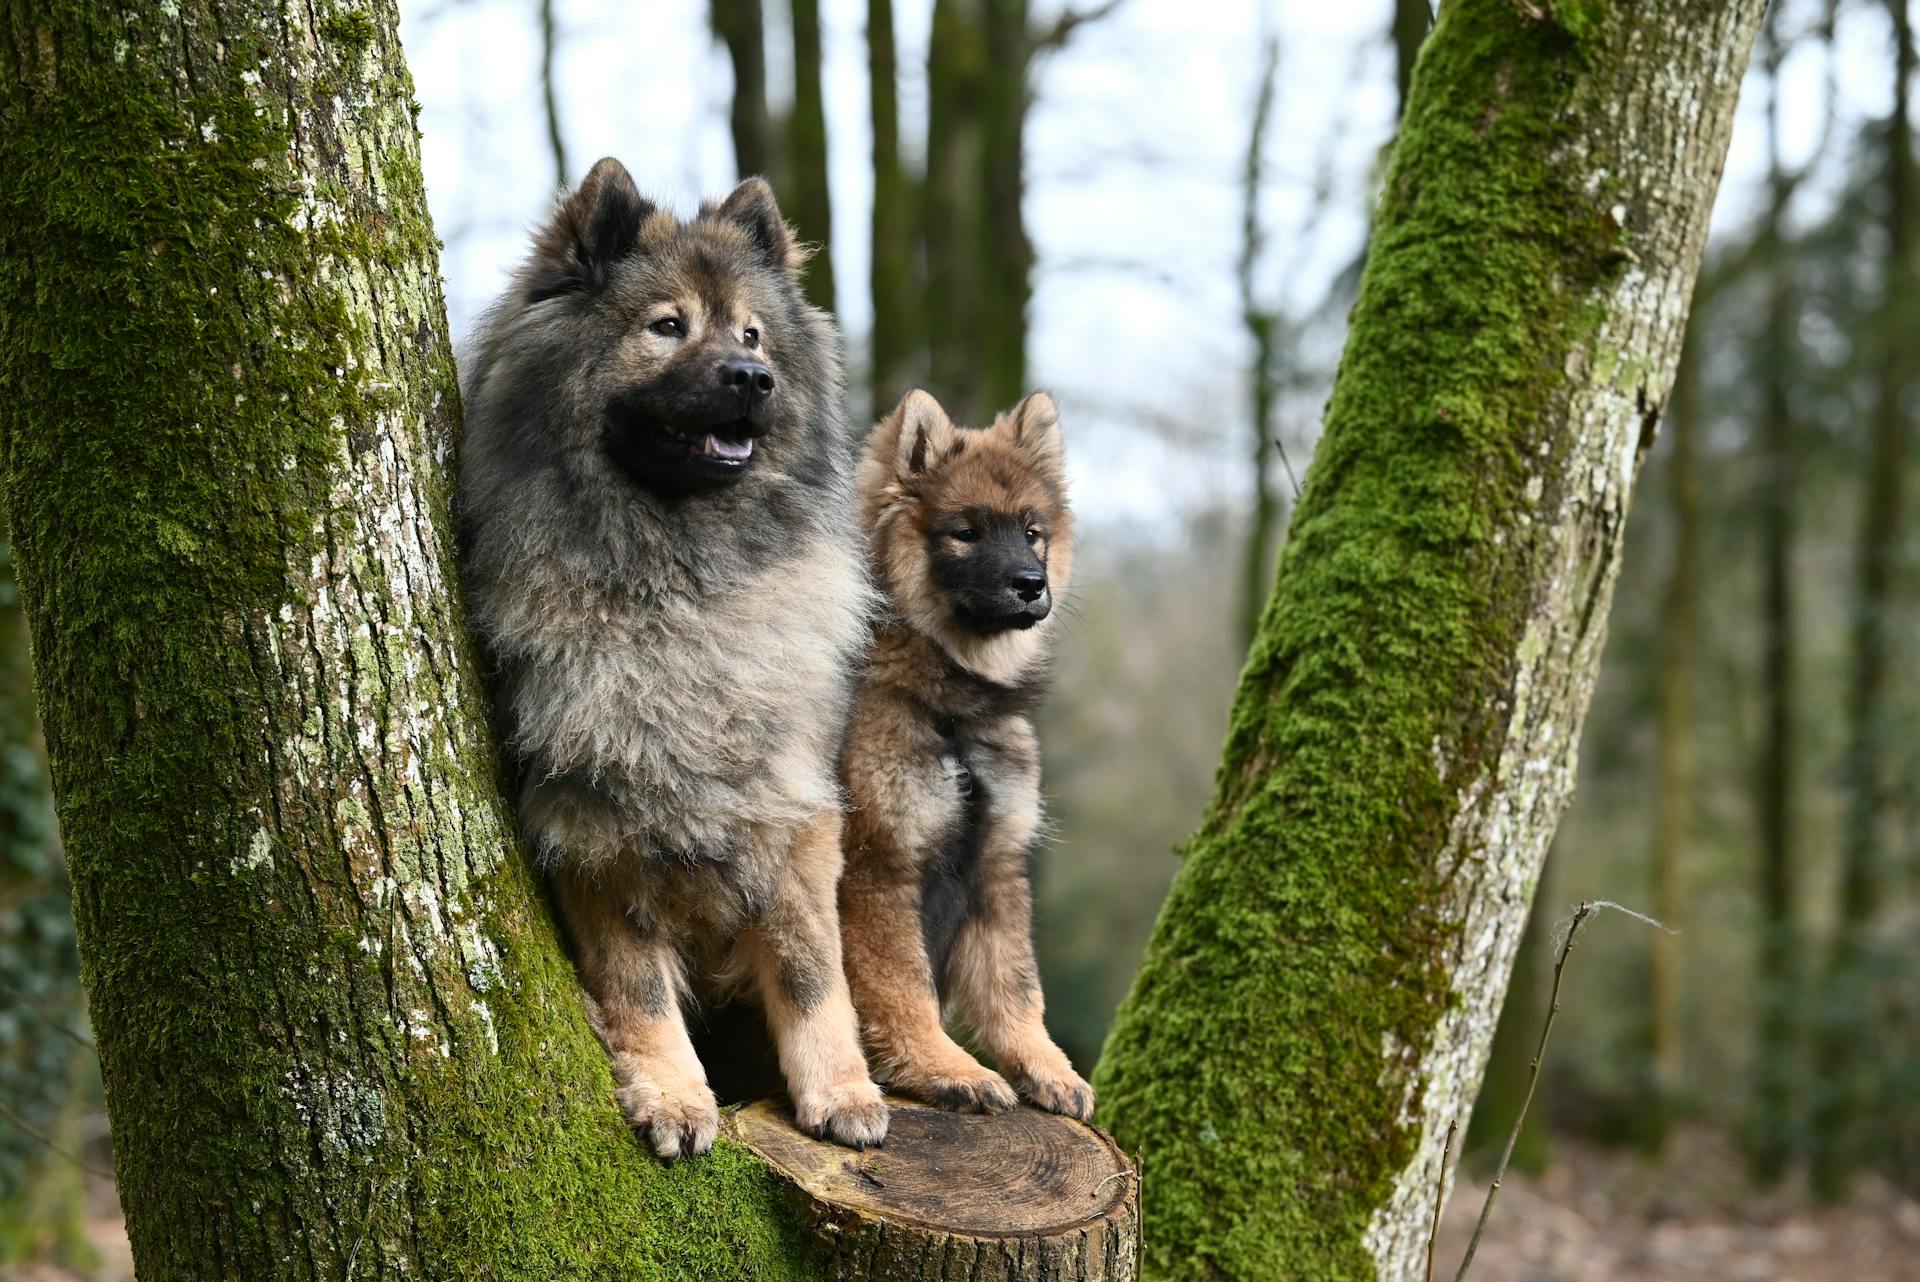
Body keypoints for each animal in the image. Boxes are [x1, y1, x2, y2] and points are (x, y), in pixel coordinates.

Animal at [456, 160, 883, 1159]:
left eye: (753, 334)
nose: (752, 377)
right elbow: (637, 987)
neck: (680, 596)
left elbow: (811, 968)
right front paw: (673, 1095)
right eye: (667, 327)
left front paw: (840, 1090)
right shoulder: (591, 828)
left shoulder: (790, 809)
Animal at [844, 385, 1098, 1113]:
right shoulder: (880, 866)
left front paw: (1048, 1068)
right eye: (966, 533)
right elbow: (903, 986)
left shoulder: (996, 867)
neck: (951, 712)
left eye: (1032, 532)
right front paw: (941, 1066)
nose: (1031, 584)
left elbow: (1017, 988)